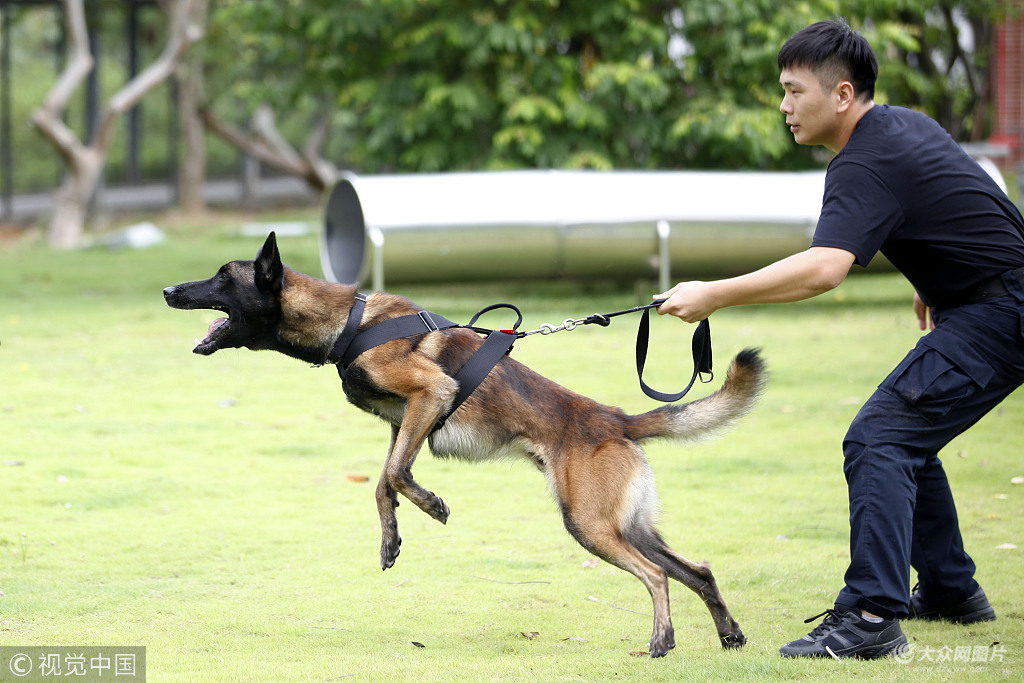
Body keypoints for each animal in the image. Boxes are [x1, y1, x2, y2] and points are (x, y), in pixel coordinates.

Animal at [163, 232, 765, 659]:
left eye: (222, 276)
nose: (169, 290)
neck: (348, 322)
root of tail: (615, 419)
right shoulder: (403, 421)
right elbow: (383, 482)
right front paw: (391, 537)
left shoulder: (431, 395)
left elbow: (397, 476)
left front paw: (432, 506)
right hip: (628, 524)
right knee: (697, 570)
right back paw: (729, 635)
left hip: (590, 524)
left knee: (657, 574)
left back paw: (662, 641)